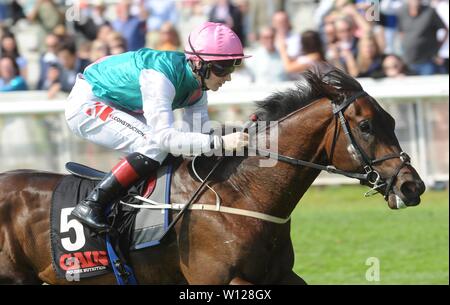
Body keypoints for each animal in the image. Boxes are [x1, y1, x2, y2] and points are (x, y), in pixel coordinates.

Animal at [0, 63, 426, 282]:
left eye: (392, 120)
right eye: (367, 126)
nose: (412, 186)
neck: (244, 193)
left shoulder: (279, 276)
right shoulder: (218, 280)